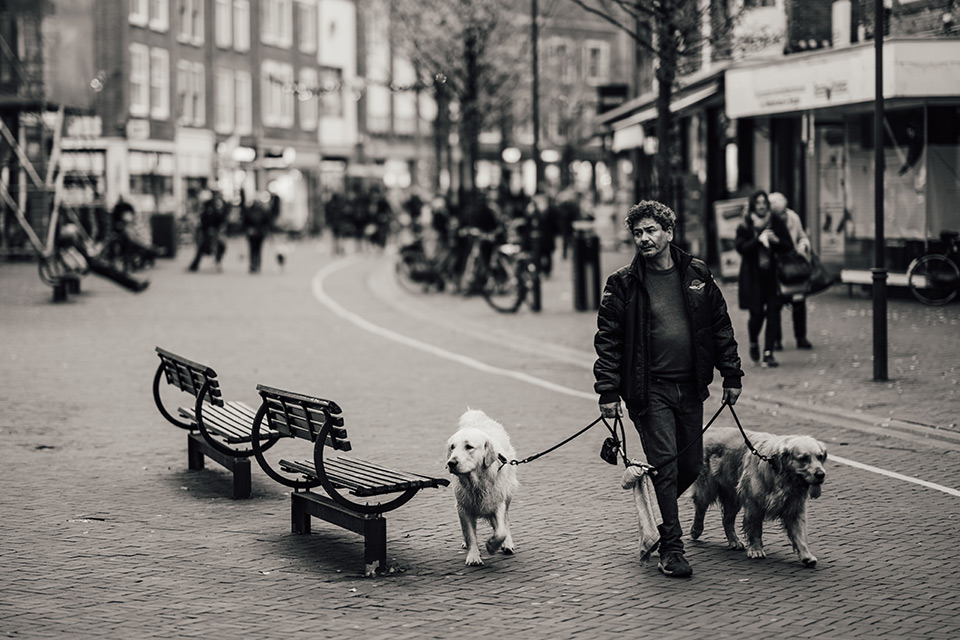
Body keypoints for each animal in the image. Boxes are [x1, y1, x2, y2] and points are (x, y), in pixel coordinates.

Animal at [444, 410, 516, 564]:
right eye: (452, 447)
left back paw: (507, 544)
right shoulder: (463, 506)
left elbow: (501, 531)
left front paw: (492, 545)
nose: (451, 463)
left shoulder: (498, 502)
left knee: (505, 521)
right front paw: (473, 556)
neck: (476, 483)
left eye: (469, 447)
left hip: (508, 493)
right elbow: (470, 534)